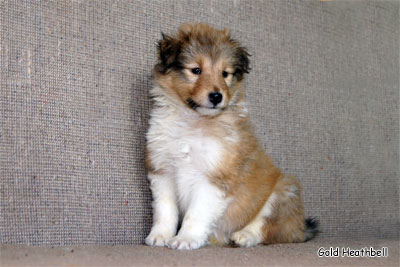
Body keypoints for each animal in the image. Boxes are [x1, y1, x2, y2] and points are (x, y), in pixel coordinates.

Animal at [145, 23, 318, 251]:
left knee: (269, 228)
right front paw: (160, 236)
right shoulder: (162, 171)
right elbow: (164, 210)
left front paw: (186, 238)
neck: (194, 122)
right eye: (196, 70)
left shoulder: (215, 177)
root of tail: (301, 226)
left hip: (285, 191)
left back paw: (243, 236)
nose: (216, 96)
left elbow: (195, 213)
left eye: (225, 73)